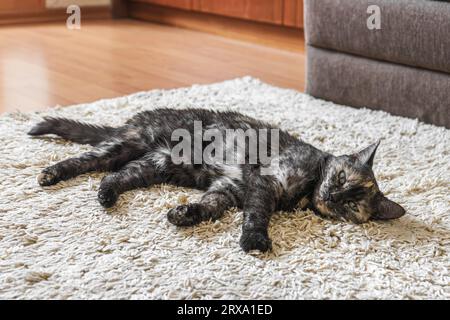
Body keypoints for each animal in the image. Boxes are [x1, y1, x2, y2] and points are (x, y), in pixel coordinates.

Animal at [29, 108, 406, 252]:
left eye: (352, 205)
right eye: (340, 178)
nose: (332, 197)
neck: (309, 183)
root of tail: (133, 120)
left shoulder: (227, 190)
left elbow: (208, 208)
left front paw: (184, 214)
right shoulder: (263, 184)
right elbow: (258, 215)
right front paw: (255, 240)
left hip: (154, 165)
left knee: (115, 176)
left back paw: (107, 196)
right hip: (127, 144)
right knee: (84, 161)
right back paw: (51, 174)